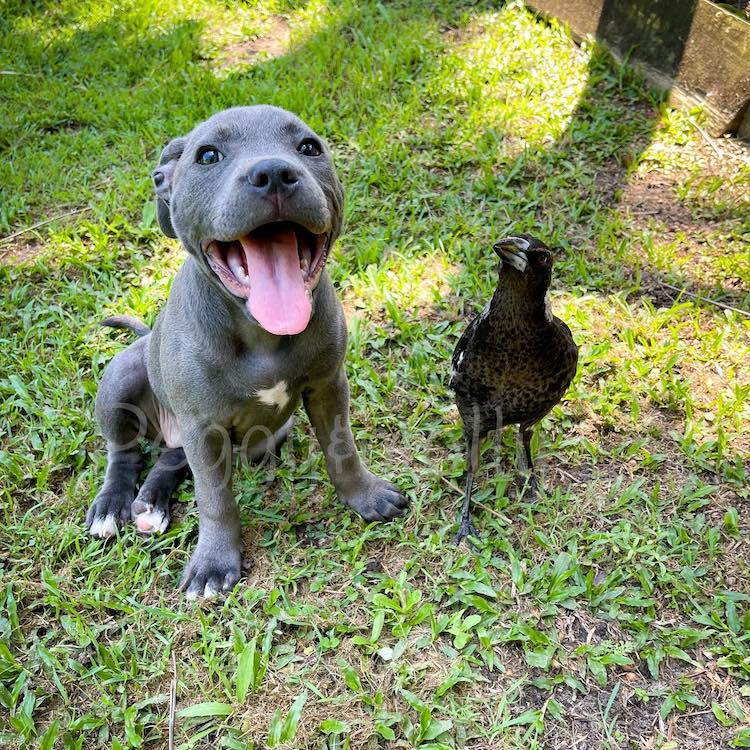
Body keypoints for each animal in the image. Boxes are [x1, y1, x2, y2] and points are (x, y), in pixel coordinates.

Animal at [86, 104, 412, 600]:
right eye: (207, 155)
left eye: (309, 147)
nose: (273, 173)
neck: (261, 332)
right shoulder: (203, 425)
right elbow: (215, 498)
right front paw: (214, 563)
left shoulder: (328, 386)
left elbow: (342, 448)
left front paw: (365, 496)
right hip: (125, 377)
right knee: (122, 452)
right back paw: (113, 505)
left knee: (170, 459)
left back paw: (151, 505)